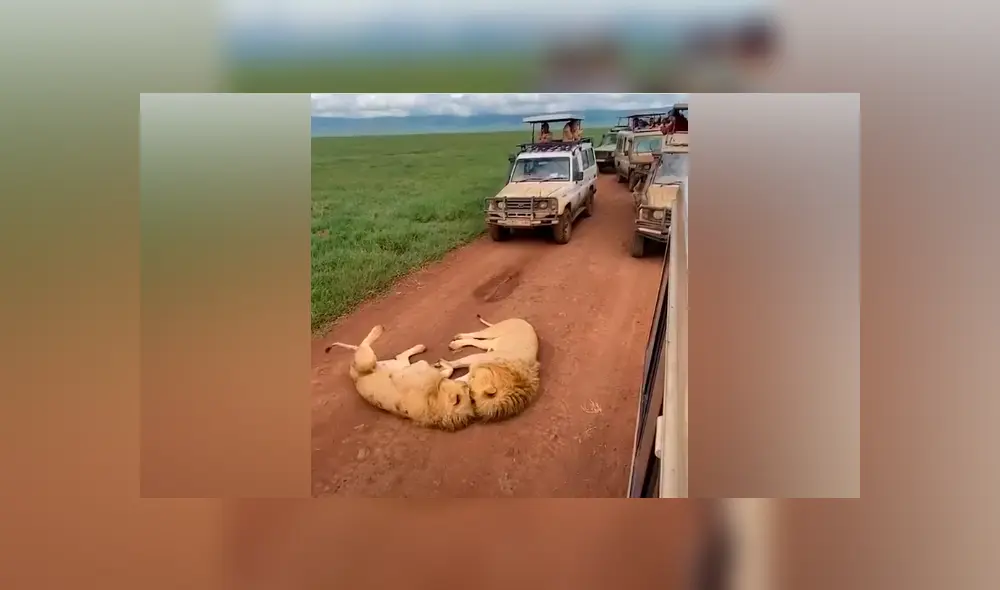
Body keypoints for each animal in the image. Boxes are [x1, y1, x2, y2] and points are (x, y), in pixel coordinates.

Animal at [325, 325, 476, 431]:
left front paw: (442, 367)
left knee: (397, 355)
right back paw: (378, 329)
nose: (466, 386)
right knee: (364, 346)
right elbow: (442, 370)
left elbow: (445, 372)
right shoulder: (419, 369)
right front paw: (441, 366)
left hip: (382, 363)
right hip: (367, 362)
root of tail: (353, 374)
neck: (434, 402)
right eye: (467, 392)